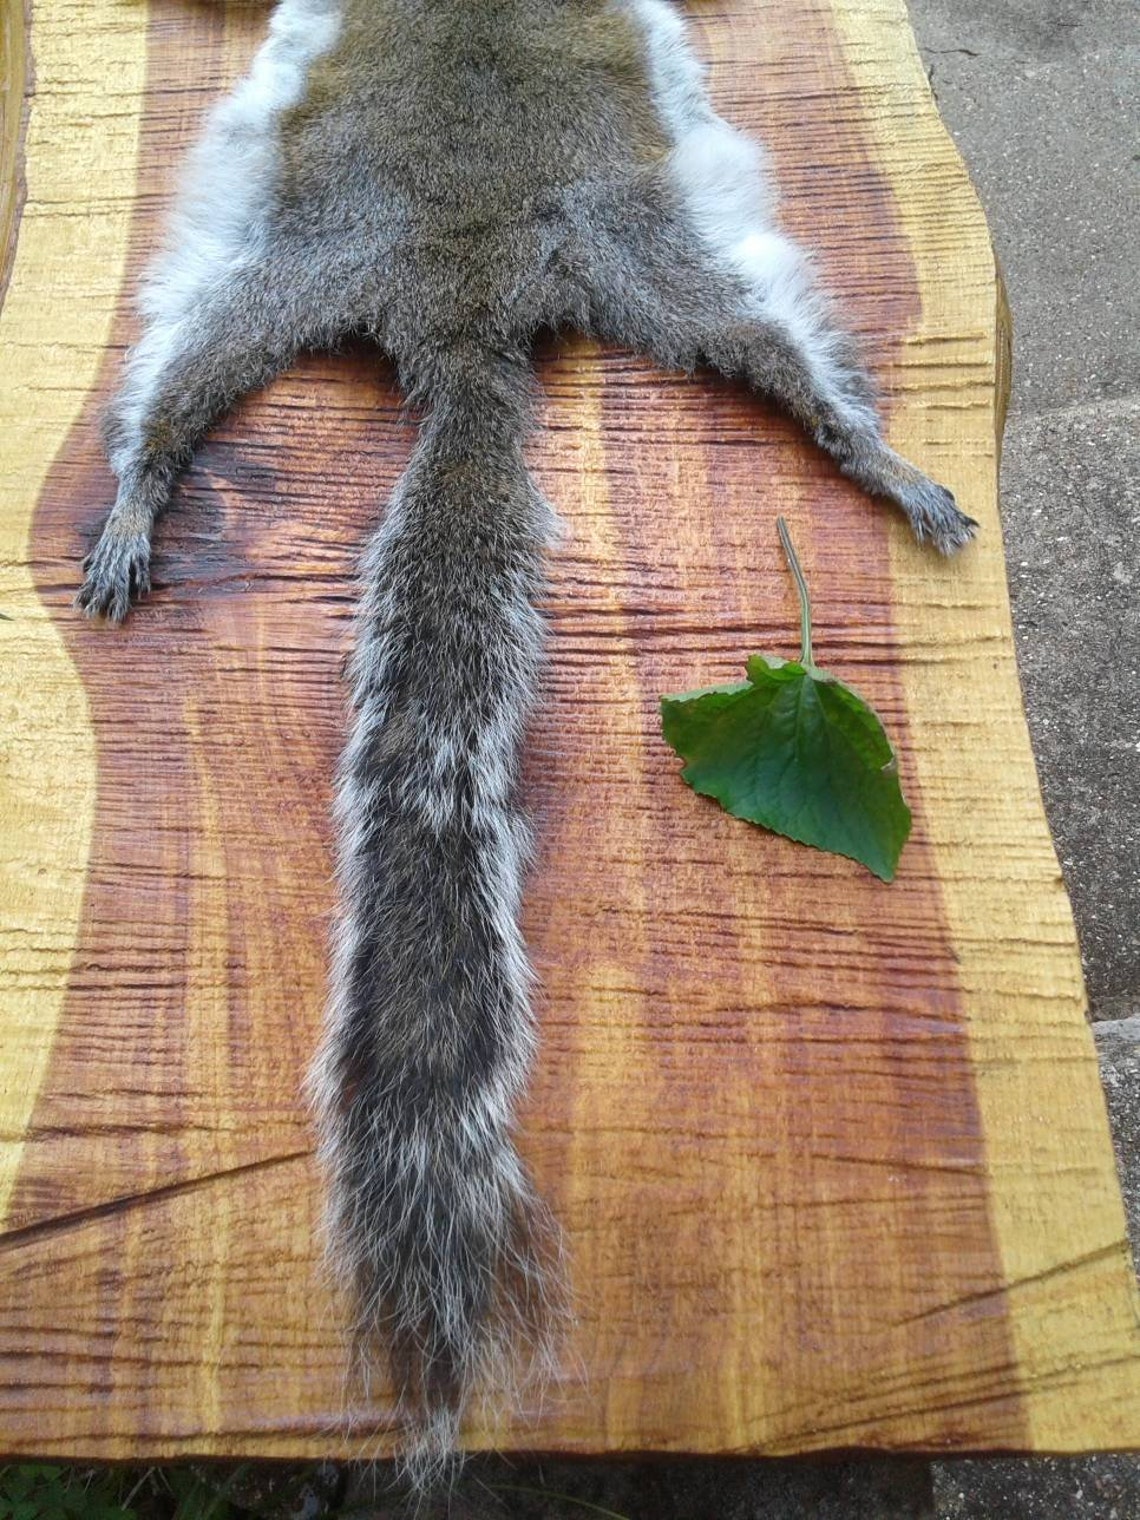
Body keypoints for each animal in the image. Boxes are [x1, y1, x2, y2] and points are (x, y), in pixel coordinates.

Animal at [77, 0, 976, 1487]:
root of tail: (468, 293)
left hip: (607, 245)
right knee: (187, 378)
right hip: (332, 251)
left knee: (775, 356)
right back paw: (142, 490)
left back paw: (873, 457)